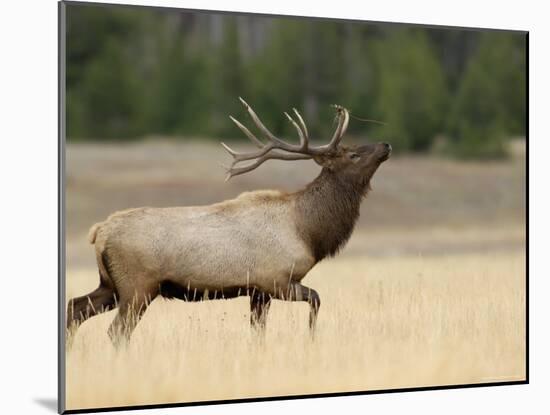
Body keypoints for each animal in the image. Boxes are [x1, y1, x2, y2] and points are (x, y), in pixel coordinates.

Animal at [67, 98, 392, 344]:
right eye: (353, 154)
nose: (386, 144)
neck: (309, 232)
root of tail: (99, 232)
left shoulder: (258, 291)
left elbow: (258, 332)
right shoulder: (275, 279)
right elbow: (316, 299)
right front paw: (311, 339)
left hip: (111, 285)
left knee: (74, 309)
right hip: (138, 286)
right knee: (116, 331)